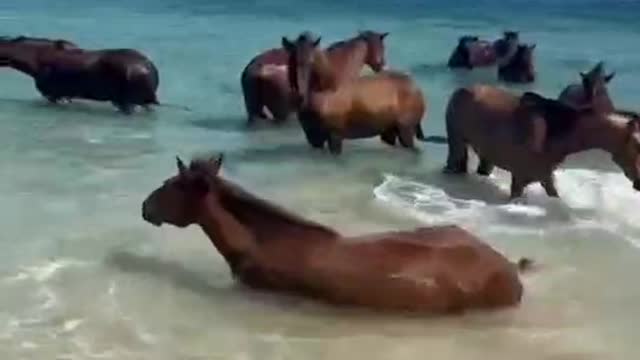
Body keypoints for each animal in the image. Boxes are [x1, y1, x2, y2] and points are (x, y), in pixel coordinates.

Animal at [241, 31, 388, 126]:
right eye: (382, 46)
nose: (382, 64)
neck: (343, 62)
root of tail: (256, 70)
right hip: (281, 113)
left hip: (254, 110)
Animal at [282, 31, 424, 154]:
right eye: (291, 60)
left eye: (311, 61)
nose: (300, 94)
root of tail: (415, 87)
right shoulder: (314, 139)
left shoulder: (335, 137)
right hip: (391, 133)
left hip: (405, 131)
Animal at [442, 84, 640, 200]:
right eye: (637, 146)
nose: (638, 182)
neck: (550, 133)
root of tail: (463, 89)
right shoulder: (519, 179)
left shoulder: (545, 178)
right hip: (456, 143)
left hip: (485, 156)